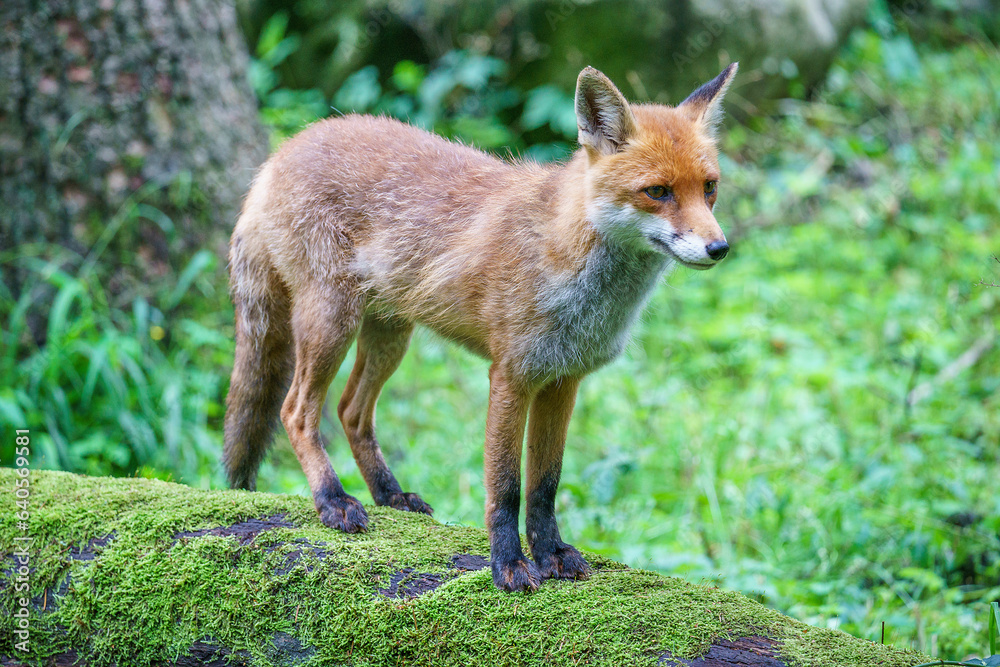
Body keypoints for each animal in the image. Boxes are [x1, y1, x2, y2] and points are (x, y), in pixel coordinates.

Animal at [225, 65, 736, 592]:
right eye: (658, 192)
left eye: (709, 187)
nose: (720, 248)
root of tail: (282, 152)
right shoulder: (511, 375)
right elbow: (506, 488)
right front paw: (508, 565)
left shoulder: (562, 380)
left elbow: (545, 486)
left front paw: (551, 553)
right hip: (331, 321)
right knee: (295, 411)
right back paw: (332, 499)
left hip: (390, 334)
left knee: (351, 412)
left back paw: (390, 494)